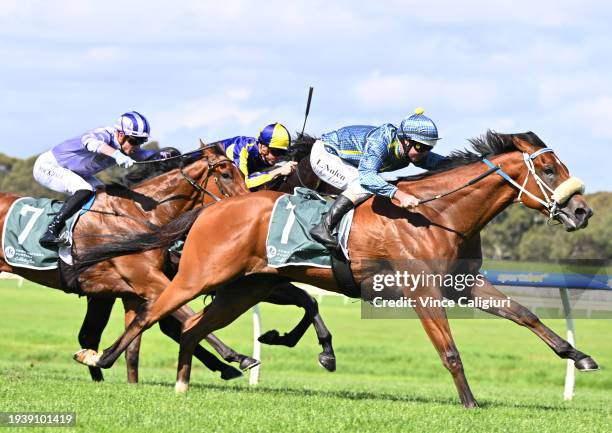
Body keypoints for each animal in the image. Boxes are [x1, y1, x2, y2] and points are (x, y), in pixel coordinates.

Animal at [75, 131, 596, 404]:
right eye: (548, 170)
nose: (582, 212)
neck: (440, 212)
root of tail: (212, 208)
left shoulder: (461, 285)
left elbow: (526, 315)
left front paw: (580, 356)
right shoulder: (421, 291)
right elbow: (449, 350)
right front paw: (469, 402)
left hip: (243, 288)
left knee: (190, 327)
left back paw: (187, 380)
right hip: (200, 276)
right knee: (153, 312)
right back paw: (100, 358)